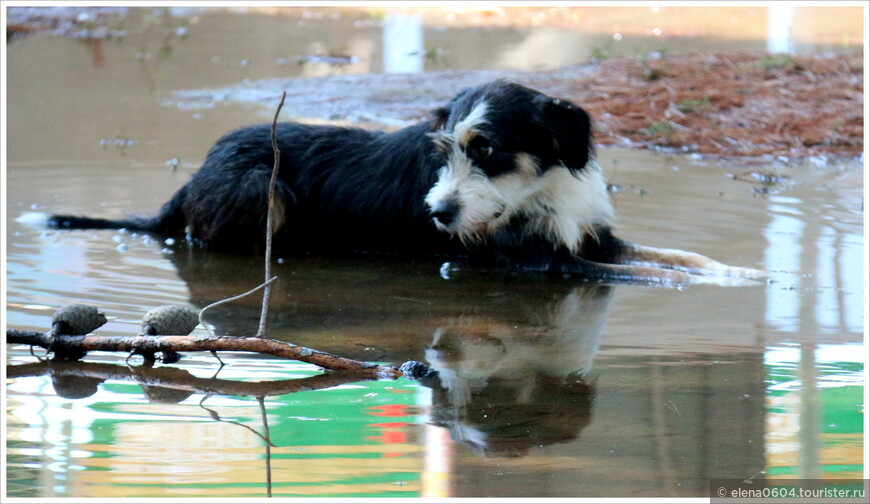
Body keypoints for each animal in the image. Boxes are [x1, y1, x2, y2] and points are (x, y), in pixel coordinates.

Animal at [25, 78, 764, 284]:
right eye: (445, 151)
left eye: (487, 150)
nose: (437, 215)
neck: (543, 188)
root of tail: (190, 179)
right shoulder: (544, 264)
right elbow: (653, 269)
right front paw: (737, 283)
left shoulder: (586, 237)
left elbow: (678, 254)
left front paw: (748, 271)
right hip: (263, 189)